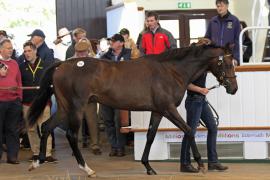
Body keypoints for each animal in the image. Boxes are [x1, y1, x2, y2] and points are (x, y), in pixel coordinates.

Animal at [27, 43, 237, 176]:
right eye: (226, 63)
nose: (233, 88)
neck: (171, 71)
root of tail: (62, 64)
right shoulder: (168, 109)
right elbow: (189, 130)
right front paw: (201, 165)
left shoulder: (157, 111)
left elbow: (150, 136)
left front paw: (148, 167)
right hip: (76, 108)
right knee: (70, 135)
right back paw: (87, 169)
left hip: (64, 108)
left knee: (46, 126)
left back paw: (38, 162)